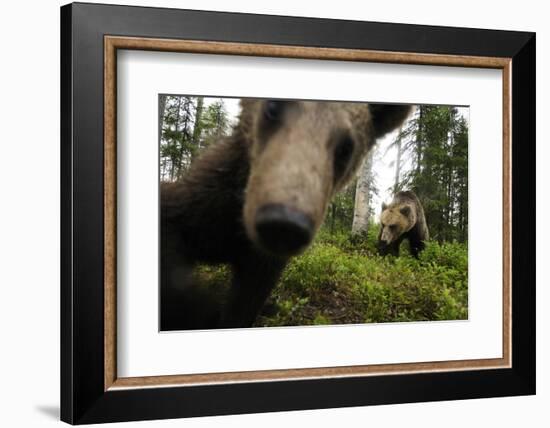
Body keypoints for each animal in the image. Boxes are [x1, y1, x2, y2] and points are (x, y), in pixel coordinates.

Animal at [162, 98, 412, 330]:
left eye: (346, 147)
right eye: (273, 107)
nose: (284, 223)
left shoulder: (262, 264)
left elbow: (245, 304)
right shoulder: (205, 204)